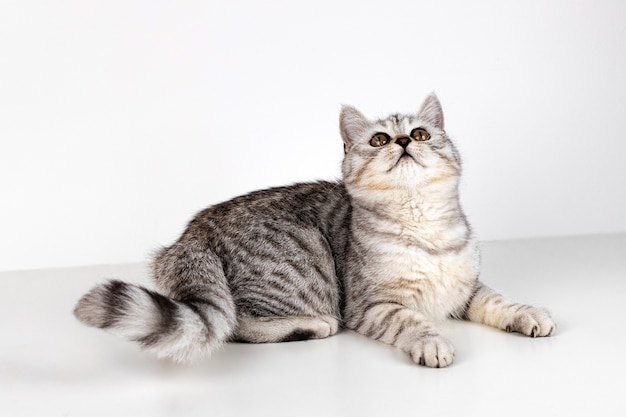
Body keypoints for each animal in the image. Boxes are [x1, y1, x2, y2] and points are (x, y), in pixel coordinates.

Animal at [74, 92, 556, 366]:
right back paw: (311, 326)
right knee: (235, 323)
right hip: (304, 270)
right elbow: (412, 321)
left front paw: (527, 313)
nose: (403, 142)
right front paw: (431, 341)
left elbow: (499, 301)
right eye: (380, 139)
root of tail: (192, 234)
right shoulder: (372, 305)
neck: (424, 226)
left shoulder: (466, 289)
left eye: (420, 133)